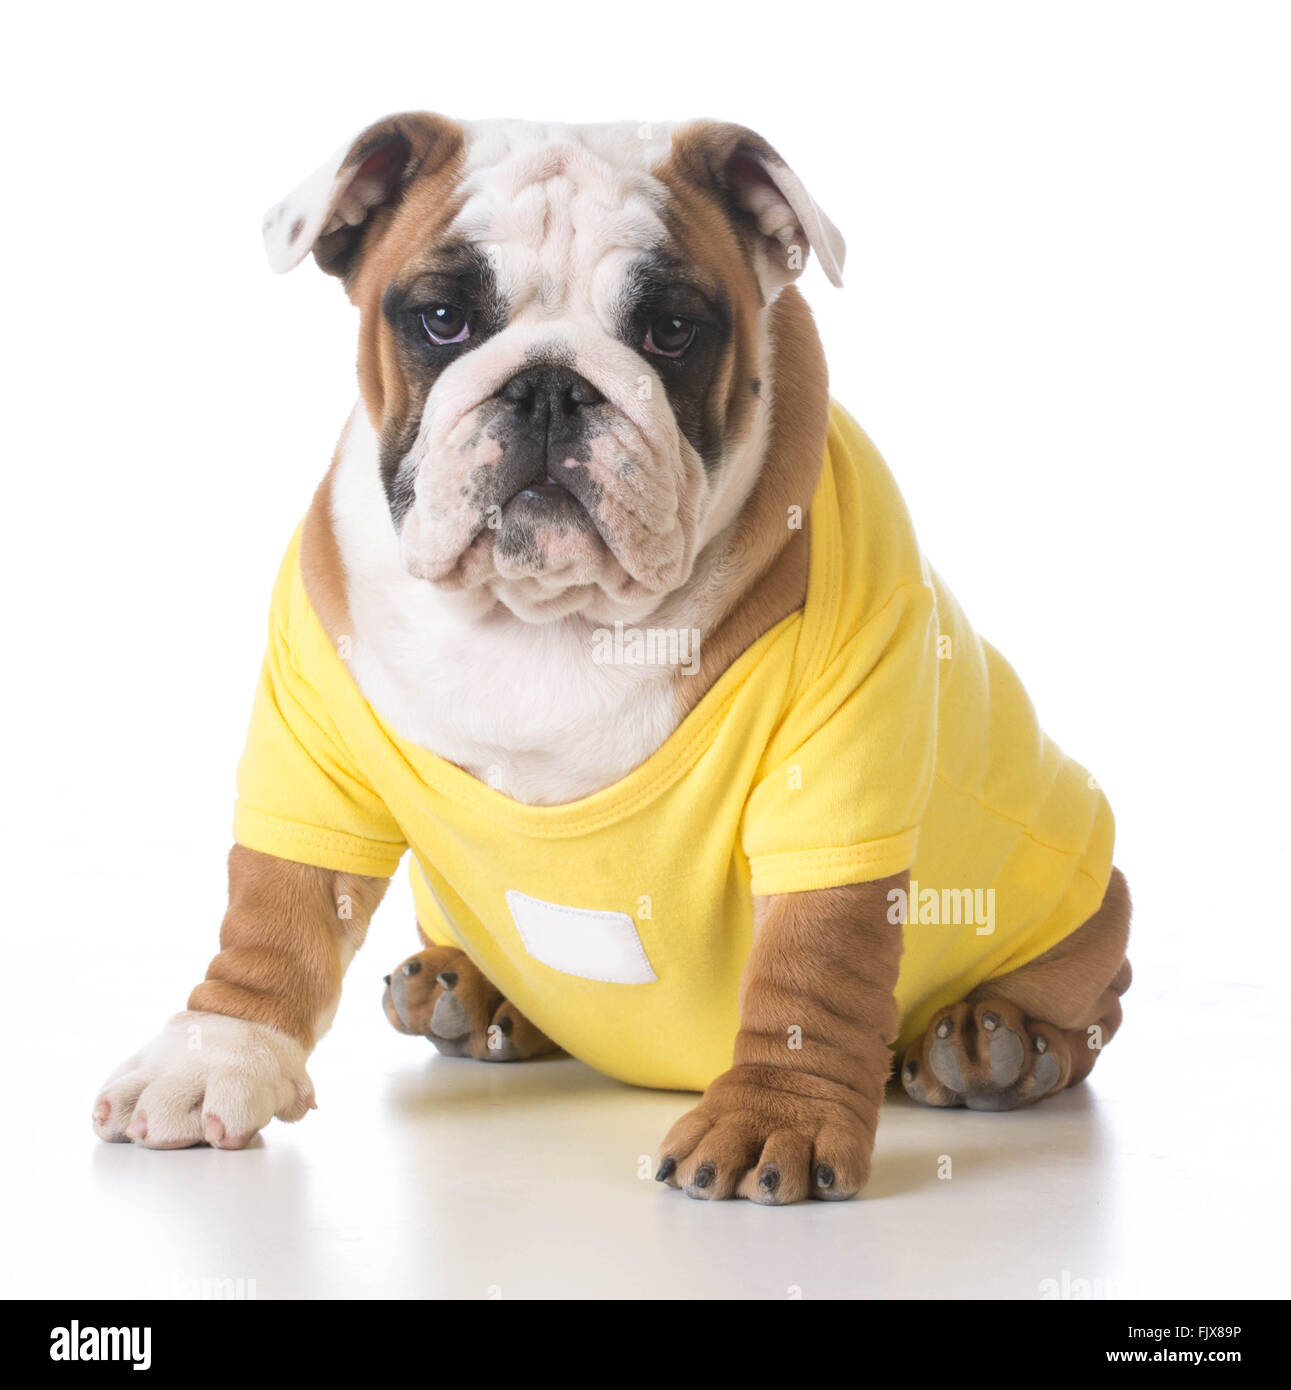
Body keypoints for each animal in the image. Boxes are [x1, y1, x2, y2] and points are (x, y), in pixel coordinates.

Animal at [90, 113, 1128, 1206]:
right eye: (442, 319)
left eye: (670, 331)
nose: (549, 384)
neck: (543, 615)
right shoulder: (310, 734)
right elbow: (276, 902)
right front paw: (212, 1054)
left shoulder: (839, 779)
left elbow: (813, 963)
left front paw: (777, 1114)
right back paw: (472, 996)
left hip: (1088, 909)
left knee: (1092, 1006)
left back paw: (993, 1047)